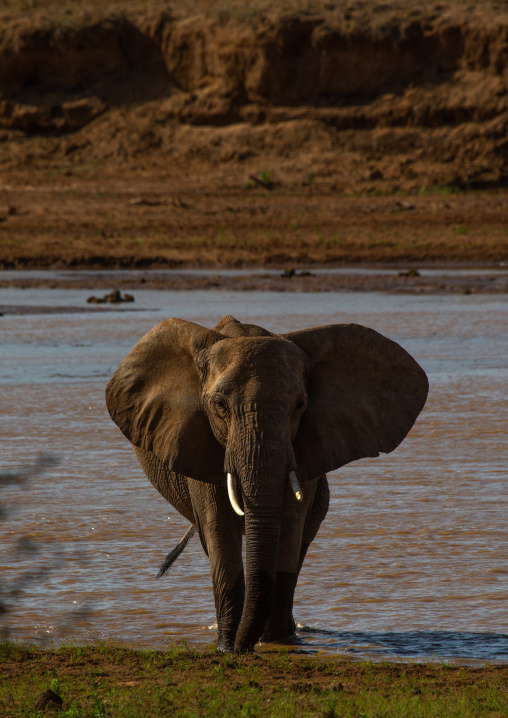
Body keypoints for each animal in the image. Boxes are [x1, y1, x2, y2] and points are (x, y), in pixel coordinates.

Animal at [106, 315, 428, 652]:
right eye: (220, 406)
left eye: (300, 405)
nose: (240, 648)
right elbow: (220, 527)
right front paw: (226, 646)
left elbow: (289, 523)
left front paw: (276, 642)